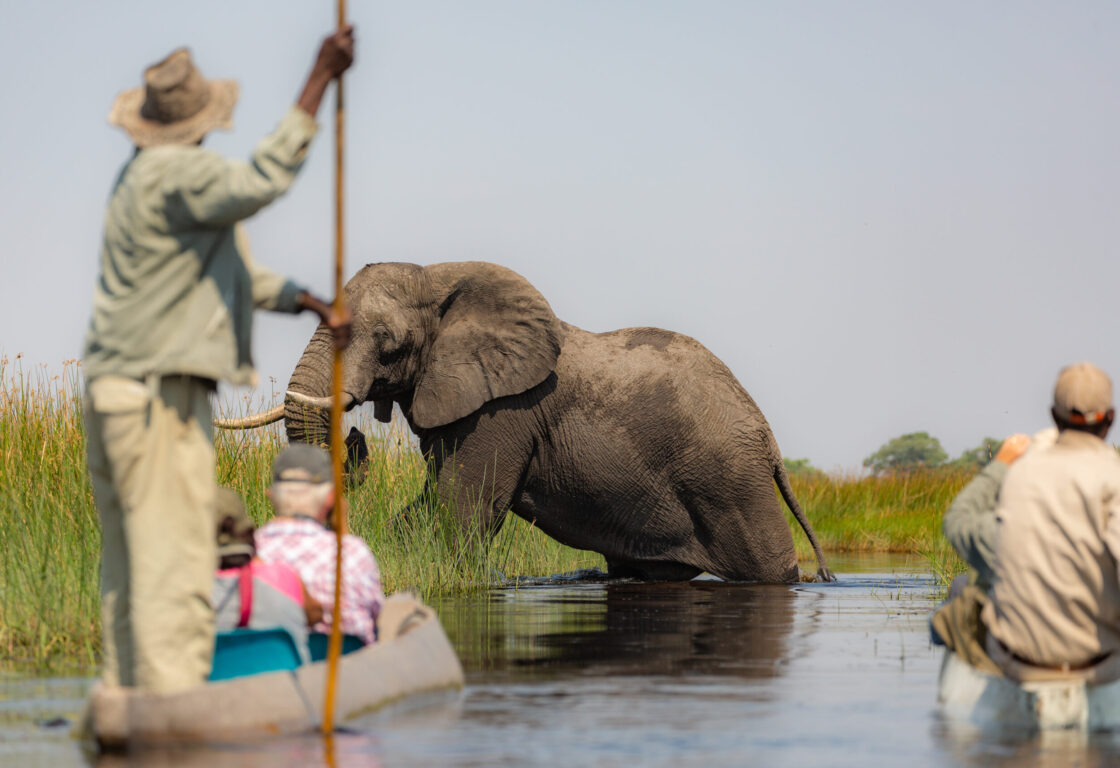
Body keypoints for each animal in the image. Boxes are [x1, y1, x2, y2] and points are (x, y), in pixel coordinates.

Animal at [218, 261, 833, 583]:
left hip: (730, 481)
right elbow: (426, 506)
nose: (355, 435)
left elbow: (464, 508)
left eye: (387, 343)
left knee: (769, 568)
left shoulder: (501, 413)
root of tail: (768, 438)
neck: (439, 277)